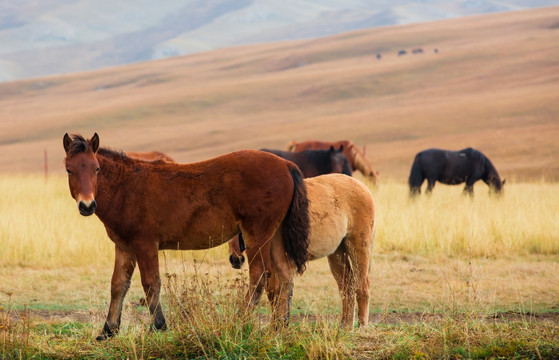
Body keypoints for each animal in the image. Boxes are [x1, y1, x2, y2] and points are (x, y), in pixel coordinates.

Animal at [64, 133, 316, 340]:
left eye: (96, 168)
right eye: (69, 169)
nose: (87, 205)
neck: (126, 187)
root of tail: (286, 163)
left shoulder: (145, 244)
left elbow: (151, 283)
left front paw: (158, 326)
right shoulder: (124, 247)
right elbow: (118, 284)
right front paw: (108, 330)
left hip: (257, 234)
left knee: (259, 276)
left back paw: (240, 321)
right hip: (275, 236)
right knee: (283, 278)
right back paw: (278, 327)